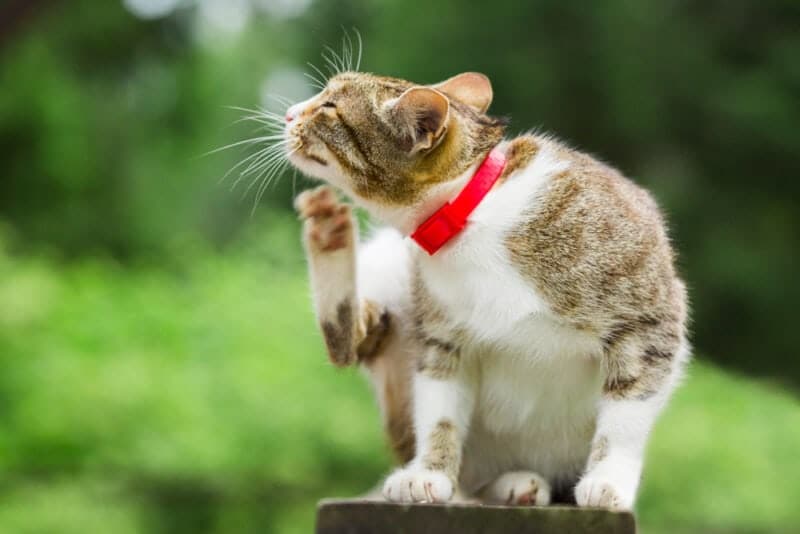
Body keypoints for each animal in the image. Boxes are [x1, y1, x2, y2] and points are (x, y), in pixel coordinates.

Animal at [282, 70, 688, 510]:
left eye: (329, 107)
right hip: (390, 273)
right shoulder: (443, 335)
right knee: (349, 341)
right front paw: (429, 473)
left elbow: (627, 414)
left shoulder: (647, 318)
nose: (288, 114)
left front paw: (608, 480)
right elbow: (439, 410)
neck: (470, 213)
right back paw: (328, 233)